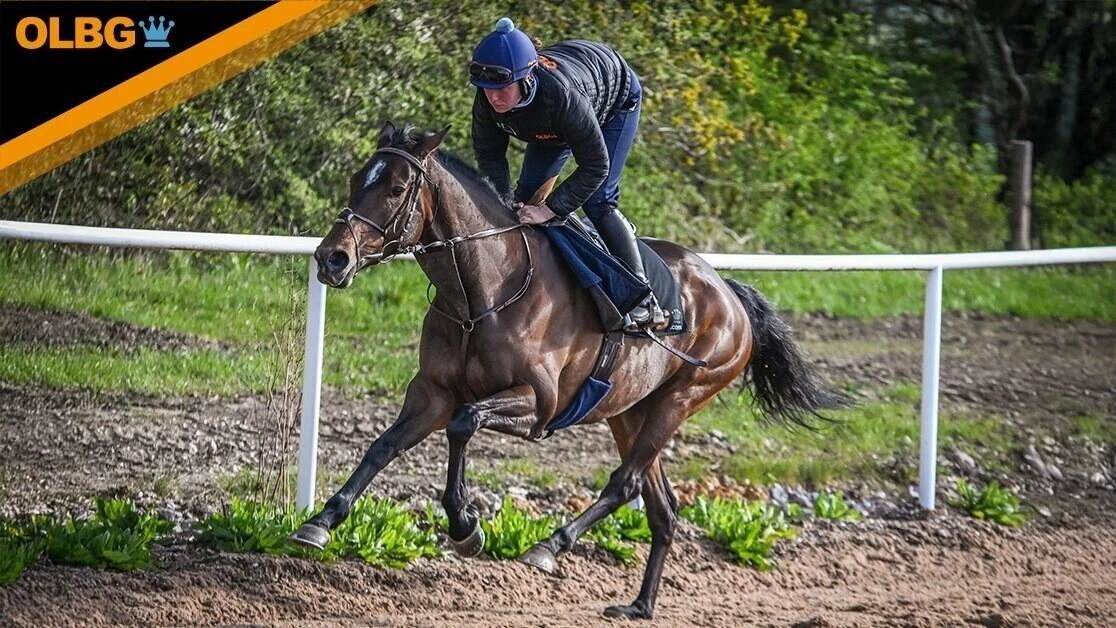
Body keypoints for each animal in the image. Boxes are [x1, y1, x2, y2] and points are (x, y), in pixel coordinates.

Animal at [290, 122, 844, 619]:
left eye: (397, 188)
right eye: (357, 179)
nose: (332, 258)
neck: (484, 293)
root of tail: (728, 290)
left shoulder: (539, 404)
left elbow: (465, 423)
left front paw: (465, 525)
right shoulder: (432, 391)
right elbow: (383, 445)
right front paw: (320, 521)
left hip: (682, 397)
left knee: (625, 483)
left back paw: (550, 546)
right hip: (627, 409)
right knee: (661, 507)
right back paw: (639, 606)